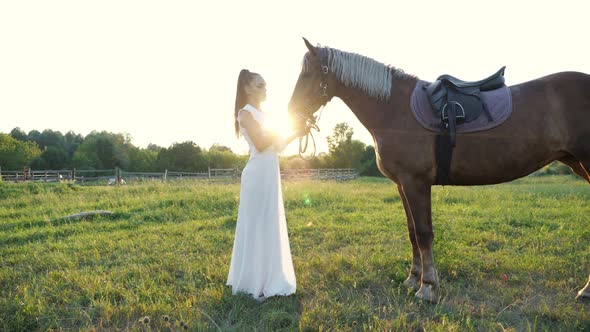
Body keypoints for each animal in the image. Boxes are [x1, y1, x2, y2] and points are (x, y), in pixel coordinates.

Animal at [290, 37, 590, 302]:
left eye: (308, 74)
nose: (291, 112)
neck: (394, 109)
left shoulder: (416, 182)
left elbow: (424, 233)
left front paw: (428, 288)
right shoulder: (402, 185)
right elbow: (412, 231)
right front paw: (413, 279)